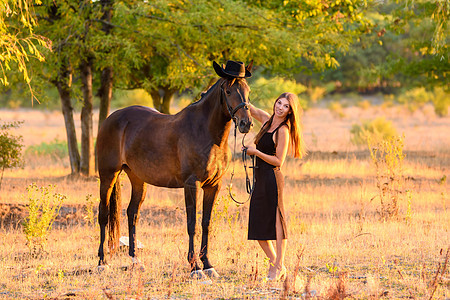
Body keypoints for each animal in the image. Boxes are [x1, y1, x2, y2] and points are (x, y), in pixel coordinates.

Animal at [96, 64, 253, 278]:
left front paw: (208, 264)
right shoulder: (191, 184)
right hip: (107, 176)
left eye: (248, 91)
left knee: (132, 213)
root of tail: (110, 118)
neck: (206, 132)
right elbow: (191, 224)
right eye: (228, 91)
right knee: (103, 214)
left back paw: (136, 260)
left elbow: (206, 224)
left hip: (137, 179)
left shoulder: (213, 186)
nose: (246, 123)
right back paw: (102, 262)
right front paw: (195, 267)